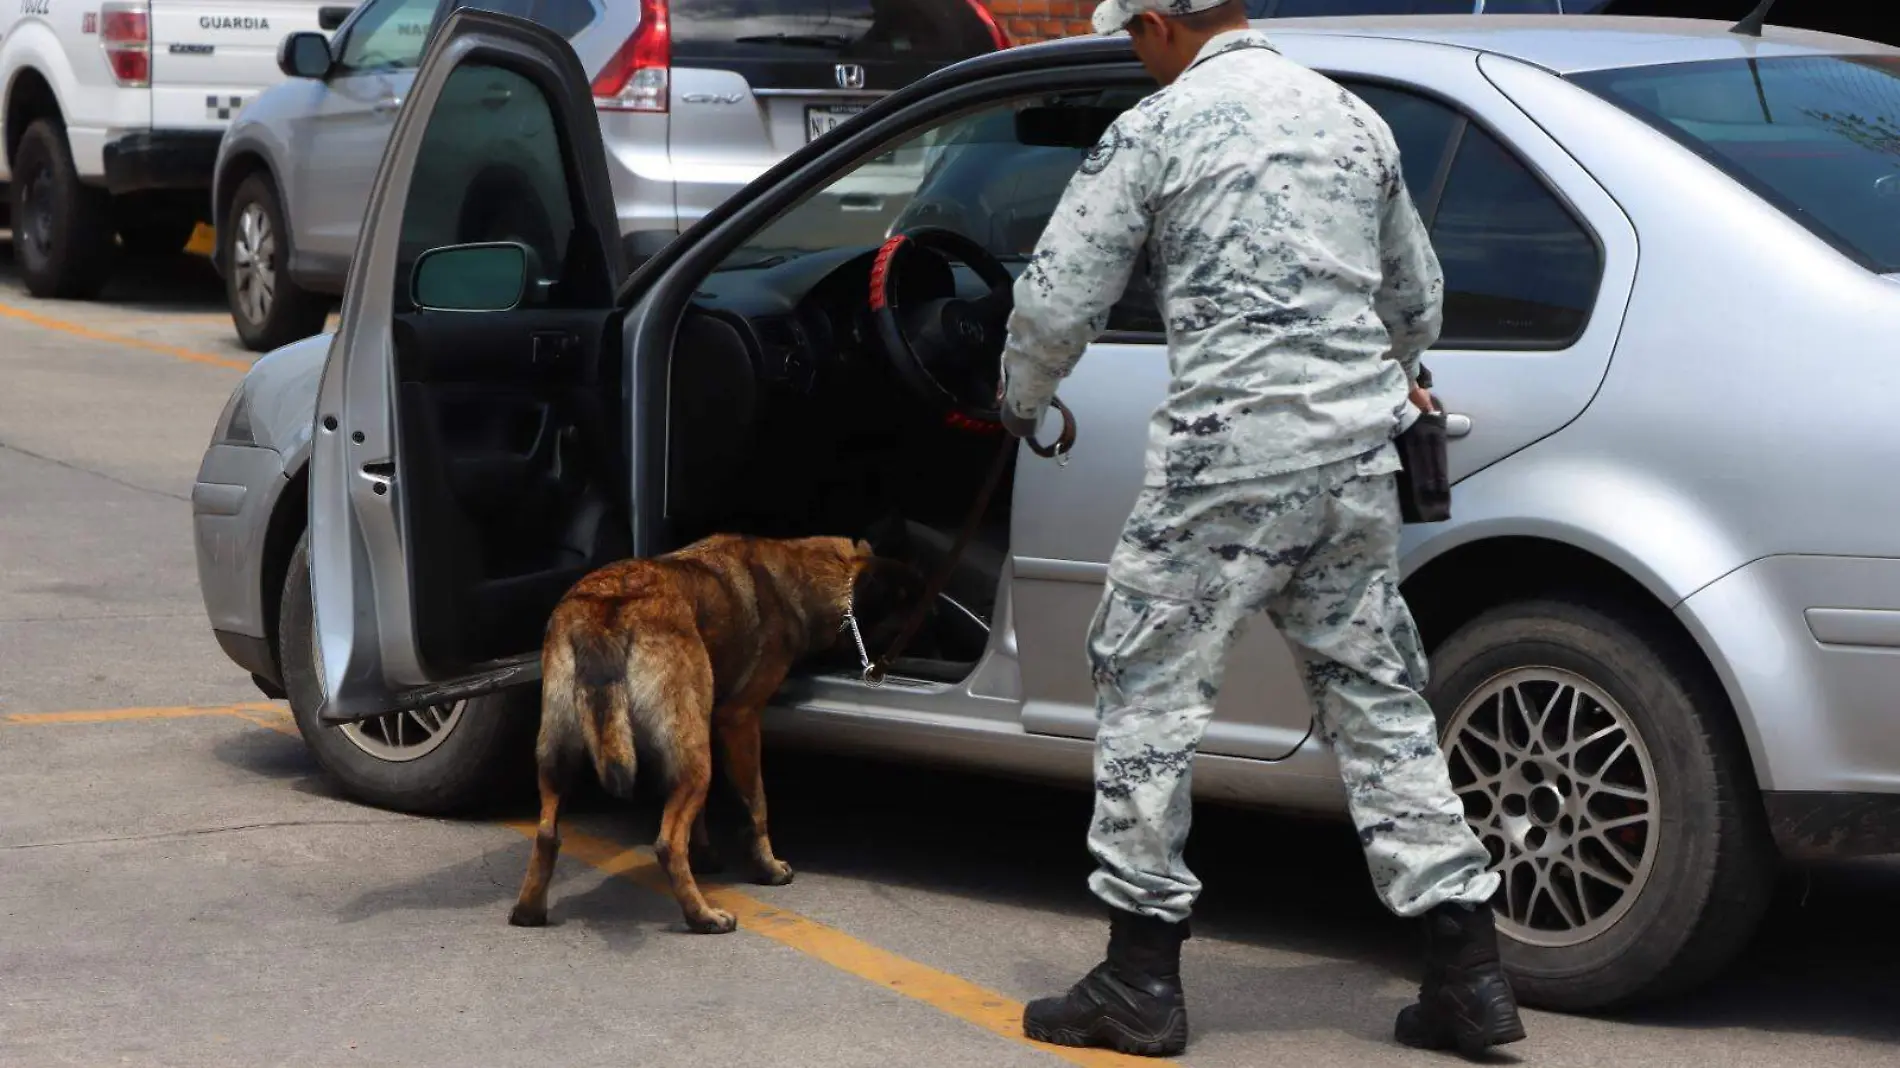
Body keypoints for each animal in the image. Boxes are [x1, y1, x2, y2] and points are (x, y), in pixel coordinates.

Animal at [505, 532, 919, 931]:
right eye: (904, 604)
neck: (802, 569)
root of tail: (608, 609)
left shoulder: (705, 726)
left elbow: (703, 814)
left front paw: (704, 855)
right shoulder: (740, 722)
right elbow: (757, 807)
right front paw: (767, 868)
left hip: (562, 755)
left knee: (547, 833)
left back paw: (528, 911)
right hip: (694, 760)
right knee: (668, 843)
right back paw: (702, 917)